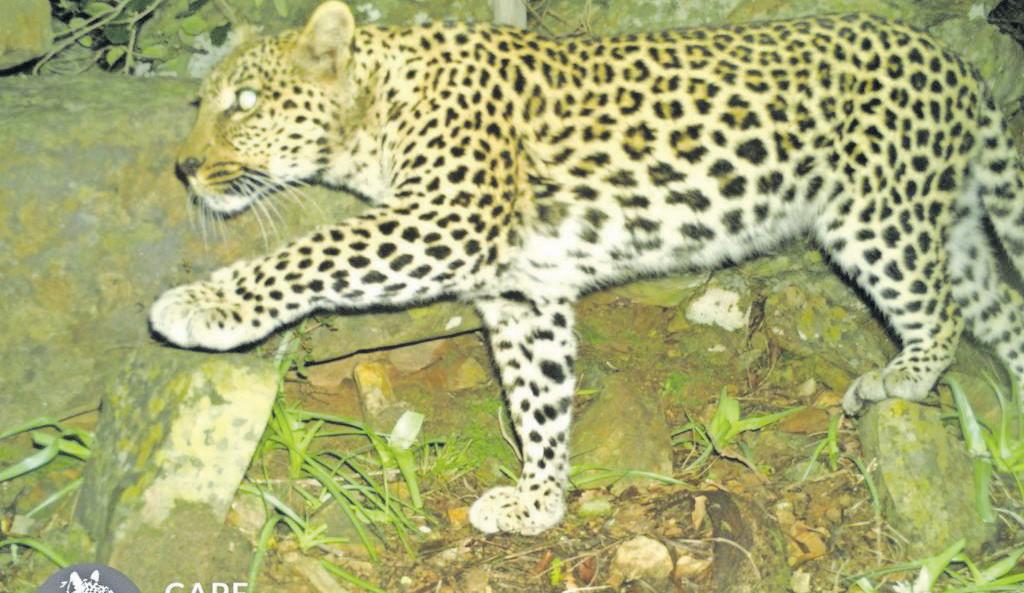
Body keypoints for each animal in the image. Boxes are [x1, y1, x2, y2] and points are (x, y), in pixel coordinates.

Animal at [150, 0, 1024, 535]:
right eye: (203, 103)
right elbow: (538, 397)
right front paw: (539, 501)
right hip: (953, 226)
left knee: (940, 311)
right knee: (1001, 310)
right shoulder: (523, 289)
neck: (380, 111)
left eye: (245, 102)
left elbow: (316, 251)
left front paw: (203, 306)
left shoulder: (448, 223)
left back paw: (897, 381)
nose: (184, 166)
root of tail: (958, 63)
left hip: (877, 215)